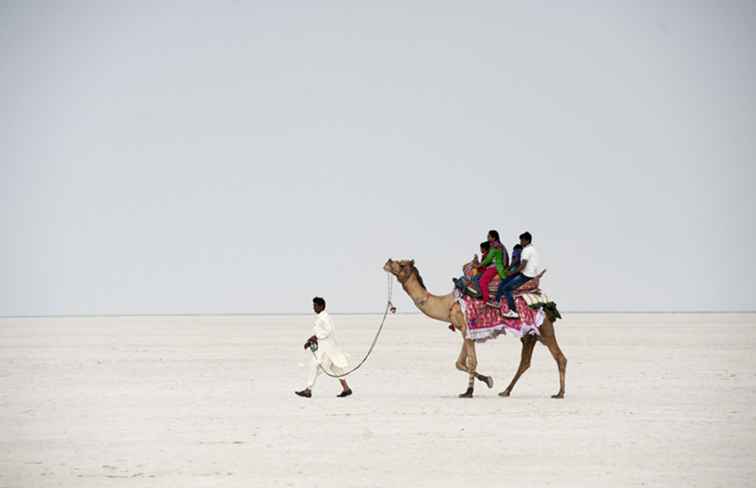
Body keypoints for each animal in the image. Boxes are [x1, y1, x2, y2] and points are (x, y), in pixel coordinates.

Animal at [384, 258, 568, 398]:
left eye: (401, 264)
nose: (388, 262)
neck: (447, 304)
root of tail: (544, 300)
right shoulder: (466, 332)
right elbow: (459, 363)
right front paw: (487, 380)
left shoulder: (467, 329)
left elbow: (471, 361)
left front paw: (469, 392)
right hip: (531, 335)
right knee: (525, 362)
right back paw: (505, 391)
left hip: (544, 328)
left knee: (559, 357)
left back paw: (559, 393)